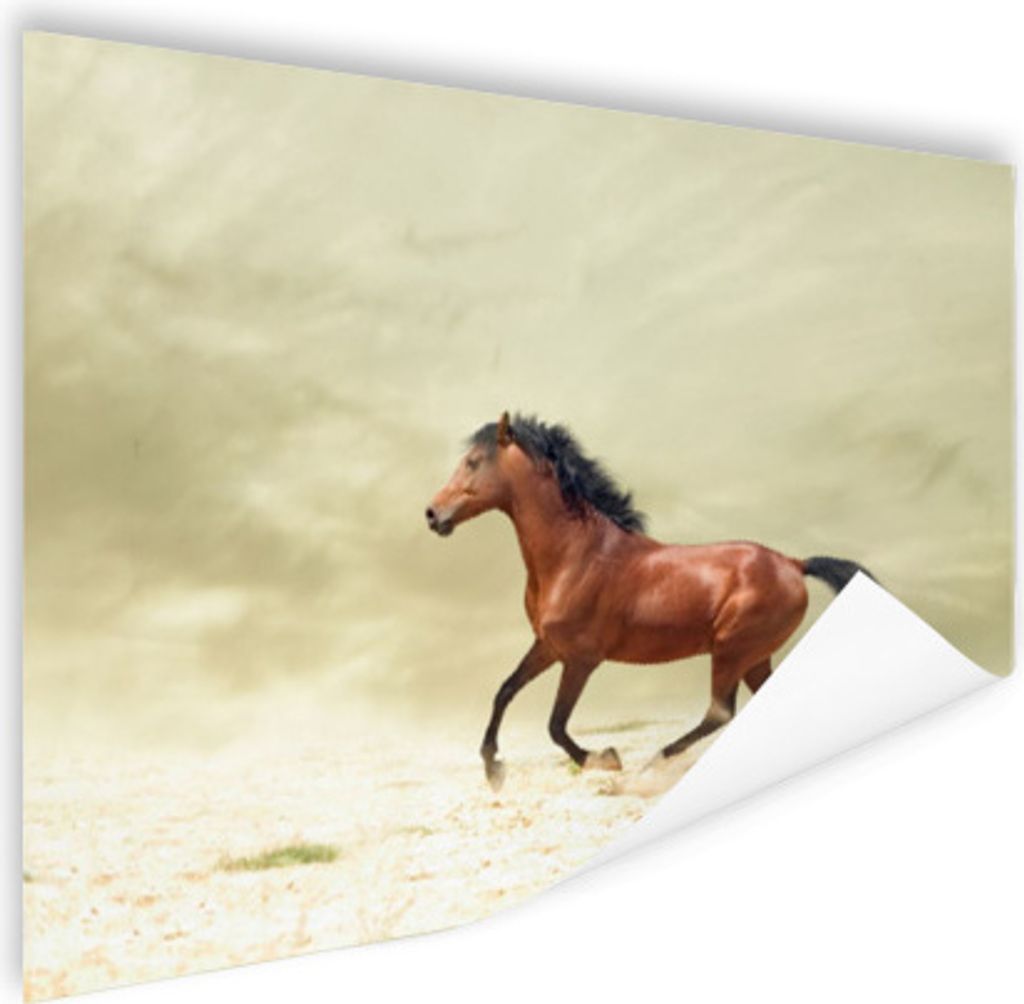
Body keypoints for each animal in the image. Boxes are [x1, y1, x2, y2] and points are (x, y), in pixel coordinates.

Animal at [426, 412, 875, 791]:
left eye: (473, 462)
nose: (432, 514)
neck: (574, 554)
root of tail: (793, 564)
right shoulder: (547, 646)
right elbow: (504, 691)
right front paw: (493, 769)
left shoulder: (581, 659)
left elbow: (556, 725)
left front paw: (605, 759)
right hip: (753, 657)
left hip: (732, 651)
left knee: (719, 712)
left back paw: (653, 764)